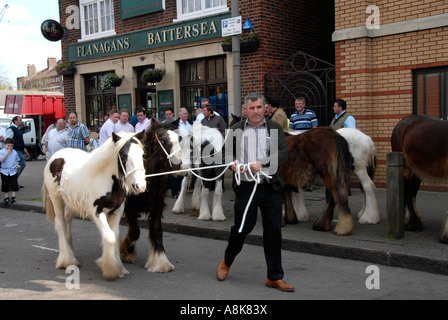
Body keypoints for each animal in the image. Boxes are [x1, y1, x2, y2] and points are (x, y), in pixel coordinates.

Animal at [42, 131, 145, 278]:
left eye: (142, 155)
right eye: (124, 156)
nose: (140, 186)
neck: (108, 180)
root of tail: (56, 156)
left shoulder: (117, 211)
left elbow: (115, 235)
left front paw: (119, 267)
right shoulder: (97, 211)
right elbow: (109, 237)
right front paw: (110, 269)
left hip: (71, 201)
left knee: (68, 218)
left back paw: (70, 248)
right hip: (57, 198)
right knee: (60, 224)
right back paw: (67, 260)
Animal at [120, 120, 183, 272]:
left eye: (179, 139)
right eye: (164, 140)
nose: (180, 166)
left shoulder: (157, 205)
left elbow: (156, 229)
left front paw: (160, 262)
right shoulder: (130, 206)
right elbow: (135, 232)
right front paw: (127, 250)